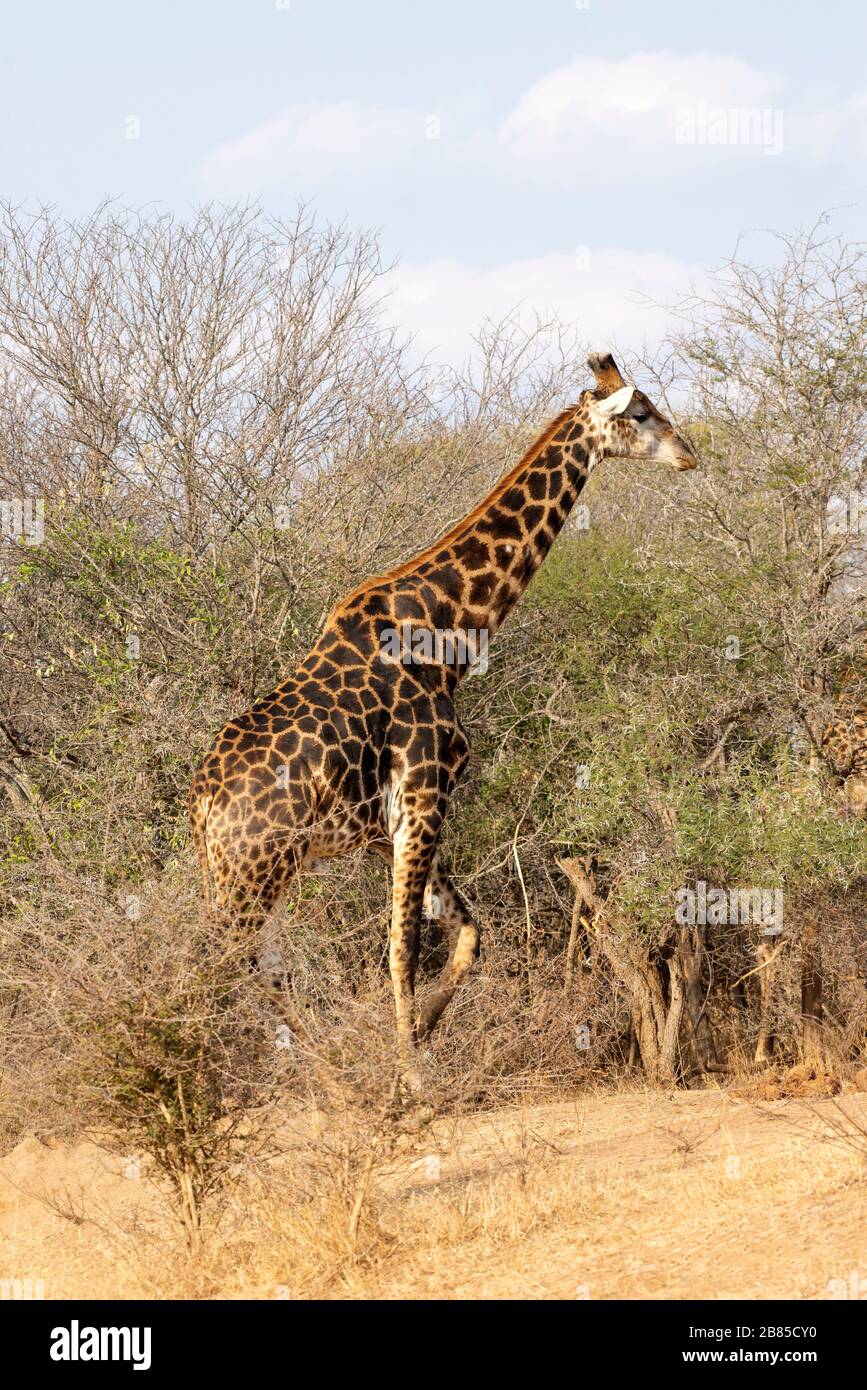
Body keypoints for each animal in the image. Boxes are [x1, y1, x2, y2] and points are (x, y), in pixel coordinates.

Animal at [189, 352, 698, 1088]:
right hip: (251, 872)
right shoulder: (426, 791)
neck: (450, 628)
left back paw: (310, 1069)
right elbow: (403, 945)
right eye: (639, 411)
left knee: (262, 970)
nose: (689, 453)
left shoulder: (389, 824)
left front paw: (421, 1034)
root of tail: (200, 804)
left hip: (252, 874)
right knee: (221, 965)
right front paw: (414, 1076)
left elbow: (467, 932)